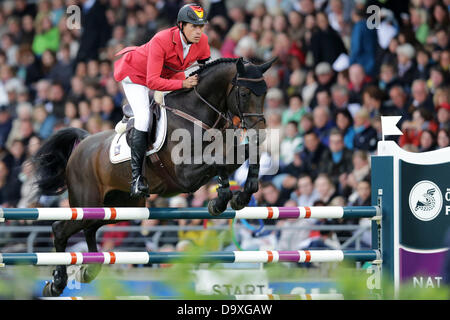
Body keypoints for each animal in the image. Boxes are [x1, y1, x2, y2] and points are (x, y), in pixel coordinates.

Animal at [32, 56, 278, 296]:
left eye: (265, 93)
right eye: (244, 94)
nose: (260, 132)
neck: (197, 114)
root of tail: (82, 143)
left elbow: (243, 155)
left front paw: (241, 196)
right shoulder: (185, 174)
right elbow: (218, 161)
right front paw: (220, 200)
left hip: (117, 207)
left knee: (90, 227)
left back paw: (90, 269)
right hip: (88, 202)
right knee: (60, 229)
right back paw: (57, 283)